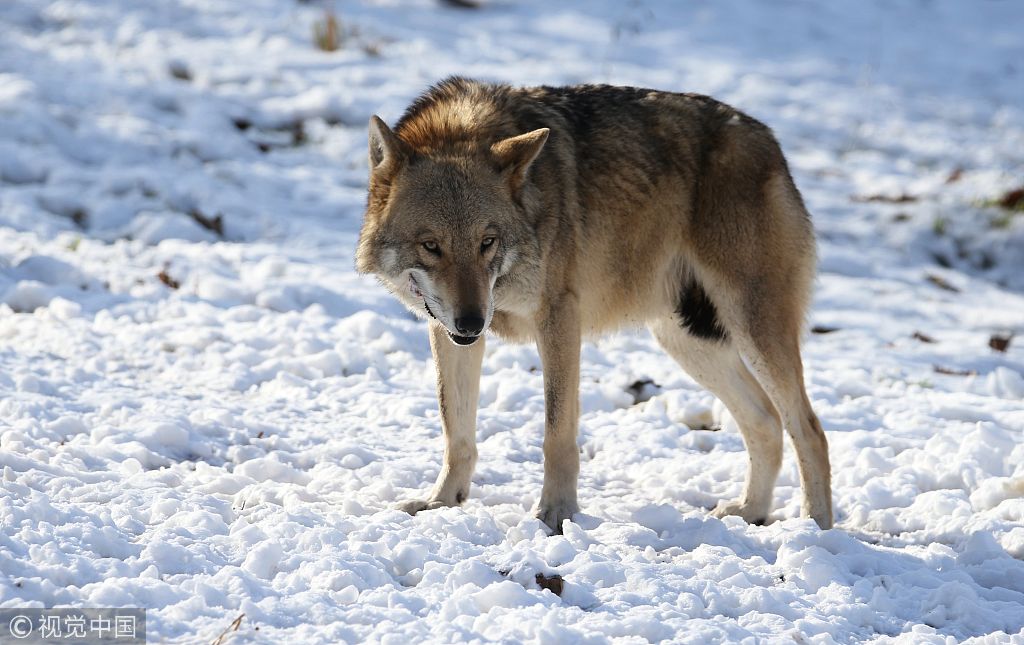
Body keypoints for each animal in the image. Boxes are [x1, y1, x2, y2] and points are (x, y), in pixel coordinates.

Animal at [358, 75, 831, 532]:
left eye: (486, 242)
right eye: (431, 246)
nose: (474, 323)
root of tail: (769, 139)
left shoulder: (559, 319)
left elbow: (556, 435)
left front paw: (555, 514)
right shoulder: (445, 329)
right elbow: (455, 430)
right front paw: (441, 502)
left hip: (751, 327)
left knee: (808, 428)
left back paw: (814, 528)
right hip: (686, 340)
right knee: (766, 422)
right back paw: (751, 511)